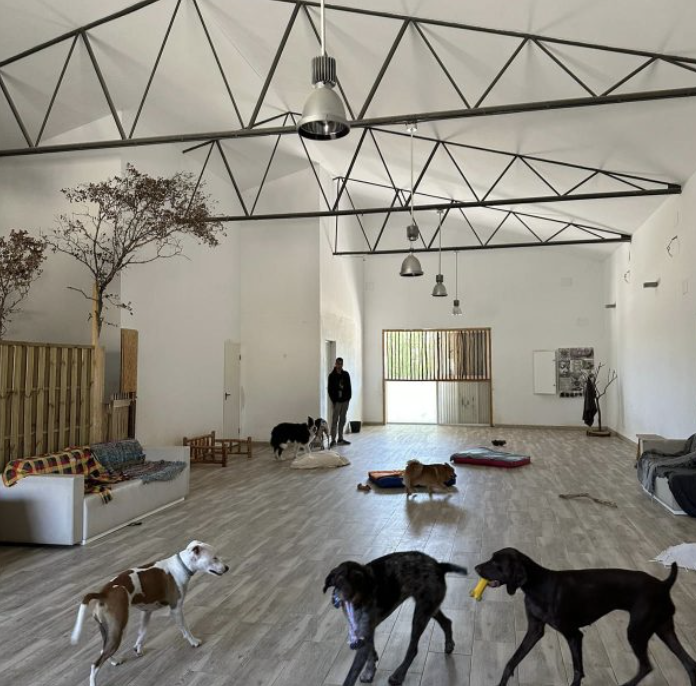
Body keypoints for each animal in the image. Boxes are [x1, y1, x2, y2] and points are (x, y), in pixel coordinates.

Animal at [71, 540, 229, 686]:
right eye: (214, 558)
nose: (227, 568)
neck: (181, 566)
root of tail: (103, 593)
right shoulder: (176, 609)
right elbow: (185, 629)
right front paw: (194, 641)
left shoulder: (146, 612)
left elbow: (142, 632)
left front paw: (138, 649)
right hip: (119, 628)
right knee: (95, 664)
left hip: (107, 630)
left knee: (103, 651)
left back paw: (115, 661)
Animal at [323, 551, 468, 685]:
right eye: (340, 579)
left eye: (359, 579)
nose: (348, 595)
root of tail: (439, 565)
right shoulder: (364, 633)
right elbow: (370, 652)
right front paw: (370, 670)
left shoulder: (364, 635)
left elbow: (351, 675)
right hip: (430, 608)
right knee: (447, 622)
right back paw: (449, 644)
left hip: (421, 614)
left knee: (413, 649)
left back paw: (398, 675)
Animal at [475, 547, 696, 686]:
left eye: (496, 563)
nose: (476, 568)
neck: (538, 584)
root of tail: (663, 585)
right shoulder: (534, 631)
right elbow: (511, 662)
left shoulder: (574, 635)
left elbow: (577, 671)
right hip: (664, 630)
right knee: (689, 664)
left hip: (637, 633)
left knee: (646, 666)